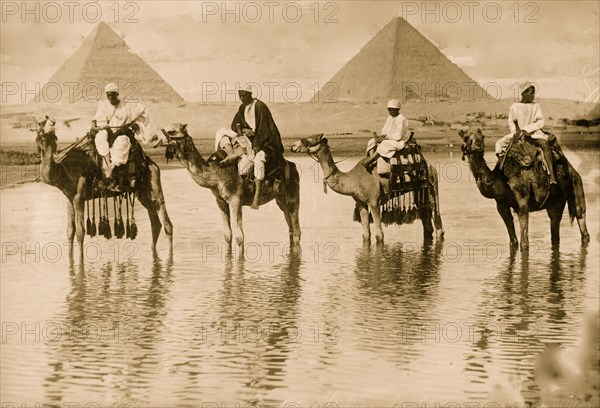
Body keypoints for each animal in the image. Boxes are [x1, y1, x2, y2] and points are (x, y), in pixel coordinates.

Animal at [34, 116, 172, 260]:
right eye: (40, 123)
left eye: (50, 122)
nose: (50, 123)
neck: (65, 169)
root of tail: (152, 164)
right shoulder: (69, 198)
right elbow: (70, 231)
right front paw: (70, 259)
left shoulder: (79, 198)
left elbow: (80, 232)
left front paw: (80, 262)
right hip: (143, 192)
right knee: (155, 222)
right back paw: (153, 252)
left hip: (154, 184)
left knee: (166, 222)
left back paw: (169, 257)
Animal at [162, 122, 300, 250]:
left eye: (172, 131)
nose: (158, 138)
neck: (216, 172)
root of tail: (293, 166)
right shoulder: (220, 201)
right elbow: (228, 235)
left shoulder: (235, 199)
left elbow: (240, 237)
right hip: (280, 199)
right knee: (290, 226)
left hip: (293, 196)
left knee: (296, 228)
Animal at [292, 133, 442, 242]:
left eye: (308, 139)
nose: (293, 146)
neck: (352, 180)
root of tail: (430, 166)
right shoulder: (361, 202)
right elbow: (366, 235)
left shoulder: (374, 202)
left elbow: (379, 235)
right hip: (419, 191)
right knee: (426, 220)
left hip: (432, 186)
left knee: (437, 219)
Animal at [460, 127, 592, 249]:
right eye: (466, 138)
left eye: (482, 137)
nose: (478, 145)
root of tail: (573, 170)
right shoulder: (501, 205)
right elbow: (513, 242)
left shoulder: (523, 203)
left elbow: (524, 244)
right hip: (556, 202)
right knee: (555, 229)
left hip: (576, 185)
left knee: (581, 217)